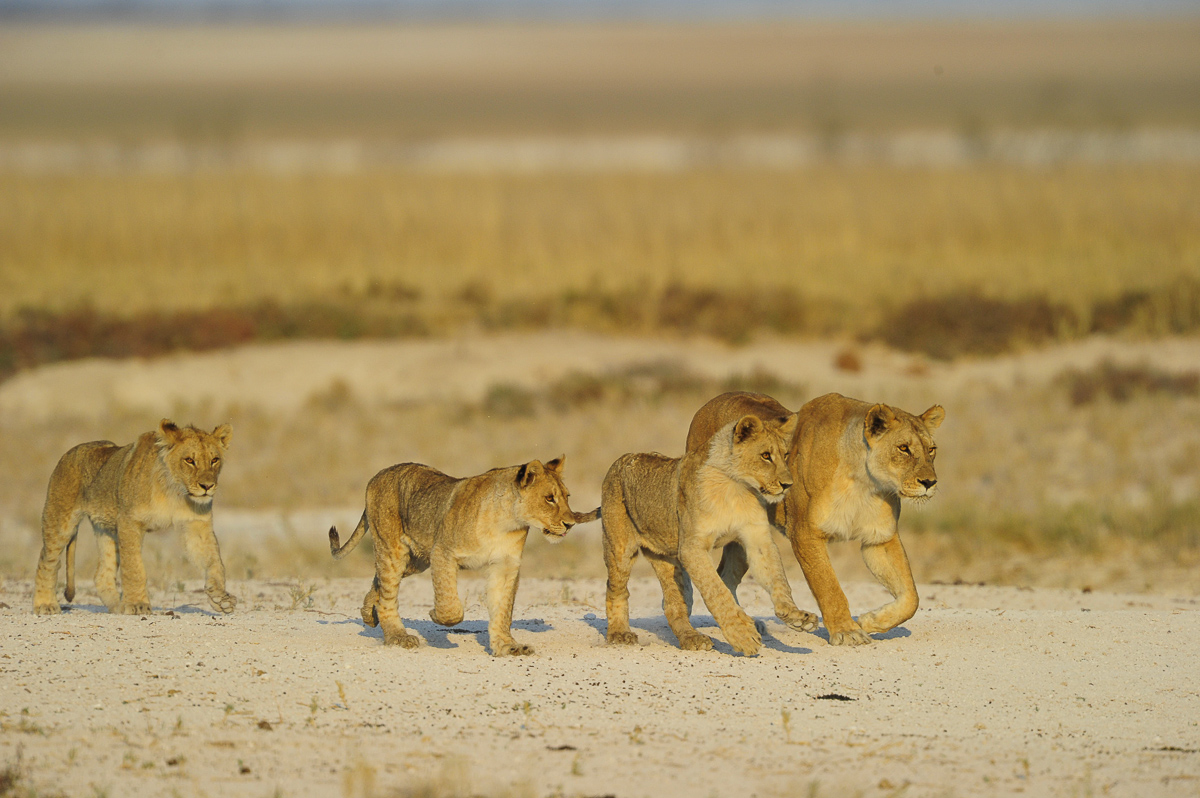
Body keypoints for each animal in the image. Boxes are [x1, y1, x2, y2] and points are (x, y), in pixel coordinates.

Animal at [33, 419, 236, 616]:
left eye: (214, 460)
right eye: (189, 460)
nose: (207, 486)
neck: (176, 493)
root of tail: (69, 452)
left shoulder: (197, 525)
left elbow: (214, 561)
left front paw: (221, 597)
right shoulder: (129, 522)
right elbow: (134, 567)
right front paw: (137, 604)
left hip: (107, 529)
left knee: (102, 574)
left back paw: (118, 607)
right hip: (60, 521)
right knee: (47, 560)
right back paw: (45, 605)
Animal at [329, 456, 598, 656]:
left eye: (567, 497)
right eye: (549, 498)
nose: (570, 524)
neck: (506, 522)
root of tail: (378, 475)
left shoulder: (505, 564)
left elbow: (503, 608)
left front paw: (508, 646)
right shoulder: (443, 552)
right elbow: (451, 606)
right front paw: (435, 615)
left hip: (416, 560)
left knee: (378, 581)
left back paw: (369, 613)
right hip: (394, 549)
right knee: (387, 593)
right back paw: (398, 636)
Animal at [601, 413, 817, 657]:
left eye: (786, 455)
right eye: (765, 456)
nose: (788, 484)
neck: (737, 488)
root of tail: (622, 459)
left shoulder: (757, 539)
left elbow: (778, 579)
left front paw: (797, 616)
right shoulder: (692, 548)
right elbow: (716, 590)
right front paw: (743, 634)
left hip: (668, 561)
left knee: (674, 604)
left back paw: (693, 638)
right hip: (620, 550)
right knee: (615, 590)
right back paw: (619, 634)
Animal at [686, 392, 944, 646]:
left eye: (931, 449)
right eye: (903, 448)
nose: (930, 482)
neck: (864, 484)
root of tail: (709, 403)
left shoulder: (880, 538)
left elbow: (912, 597)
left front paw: (871, 621)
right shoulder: (805, 533)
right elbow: (829, 586)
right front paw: (847, 632)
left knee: (726, 575)